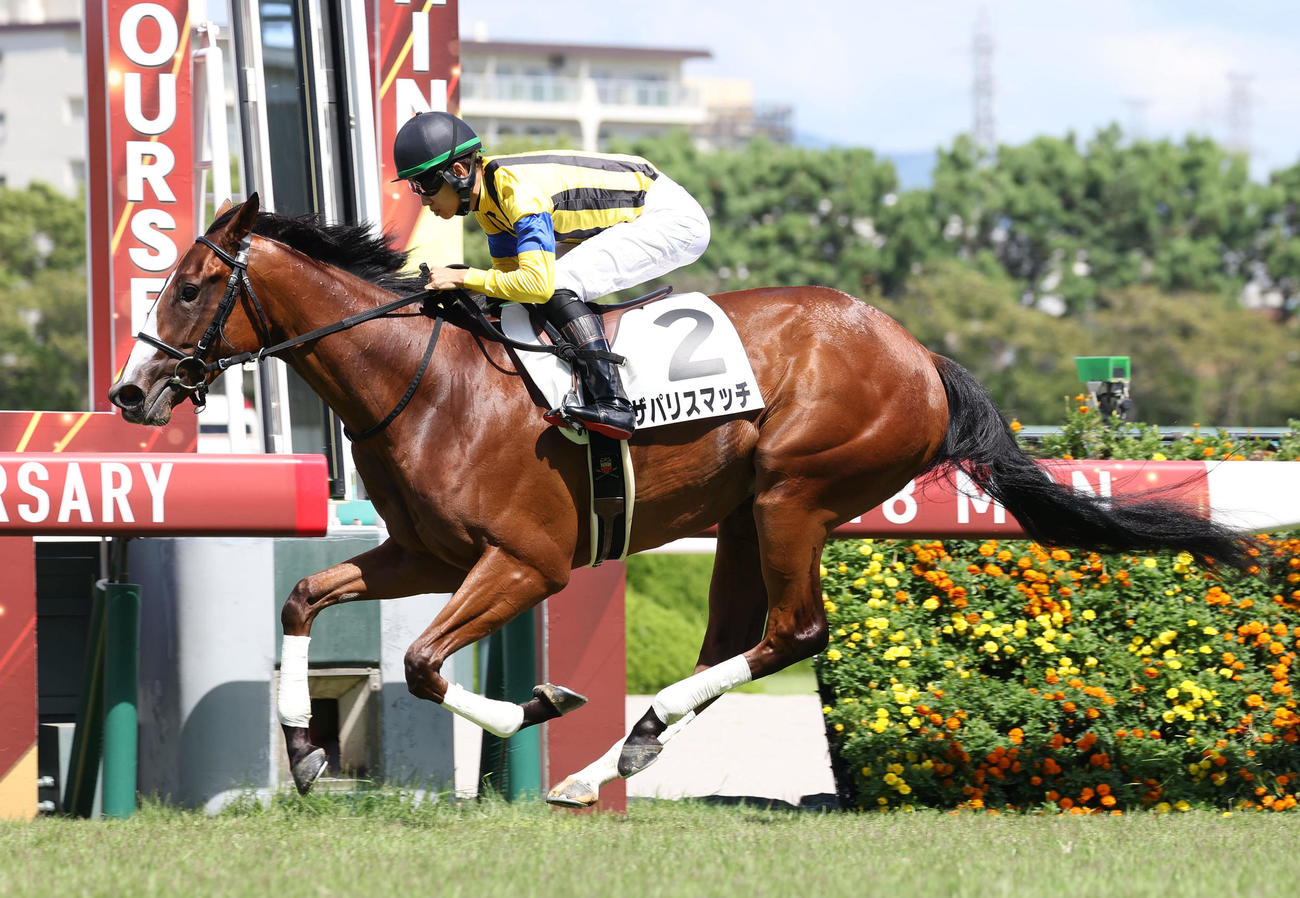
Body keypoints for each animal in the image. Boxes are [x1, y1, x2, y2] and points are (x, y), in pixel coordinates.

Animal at [108, 194, 1258, 807]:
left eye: (192, 287)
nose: (131, 392)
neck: (430, 382)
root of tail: (914, 352)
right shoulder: (426, 552)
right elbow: (303, 600)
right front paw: (304, 753)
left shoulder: (528, 560)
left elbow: (431, 664)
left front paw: (533, 705)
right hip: (747, 515)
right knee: (739, 639)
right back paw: (614, 759)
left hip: (797, 493)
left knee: (795, 631)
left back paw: (606, 754)